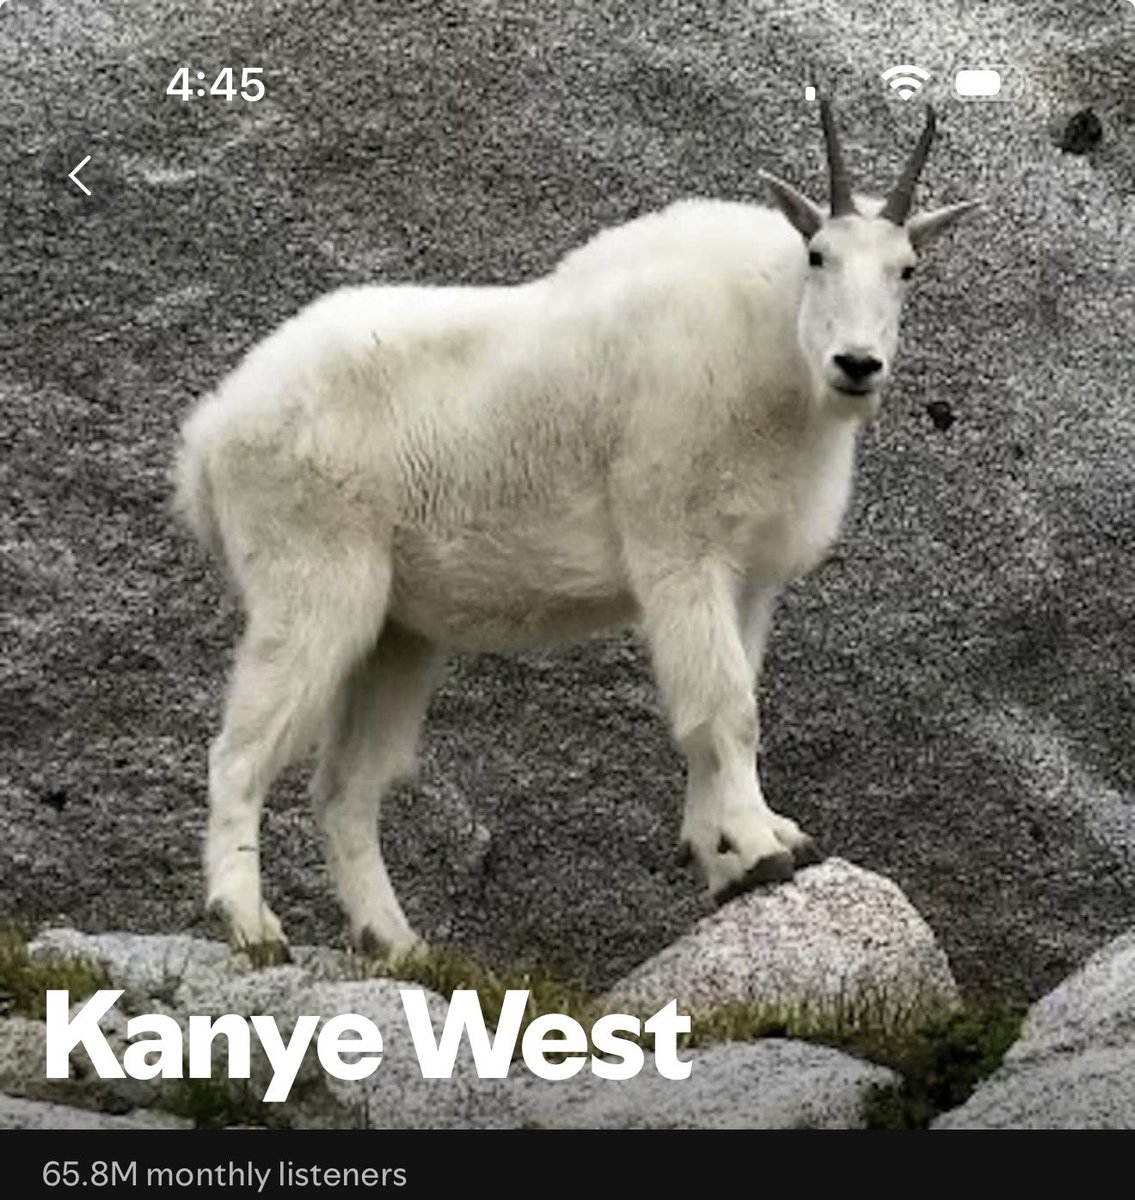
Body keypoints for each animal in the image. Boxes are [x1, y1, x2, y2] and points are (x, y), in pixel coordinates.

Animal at [175, 102, 980, 959]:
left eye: (907, 270)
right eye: (818, 255)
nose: (856, 364)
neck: (774, 359)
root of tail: (210, 434)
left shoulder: (745, 579)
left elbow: (719, 713)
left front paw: (724, 859)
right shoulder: (677, 550)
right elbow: (727, 708)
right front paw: (766, 847)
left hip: (395, 633)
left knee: (346, 789)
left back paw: (397, 943)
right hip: (311, 581)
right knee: (239, 754)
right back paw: (249, 923)